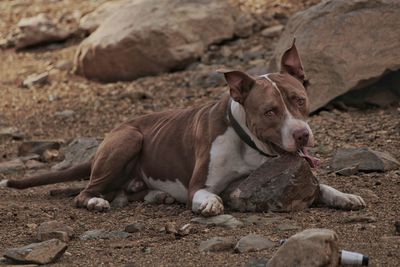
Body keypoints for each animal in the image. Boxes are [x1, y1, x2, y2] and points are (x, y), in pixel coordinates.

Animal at [0, 42, 366, 218]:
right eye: (270, 111)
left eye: (300, 100)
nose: (302, 134)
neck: (250, 145)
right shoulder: (199, 186)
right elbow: (208, 196)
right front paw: (211, 205)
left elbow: (322, 186)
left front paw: (344, 196)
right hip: (129, 138)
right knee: (85, 192)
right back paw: (95, 202)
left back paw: (156, 194)